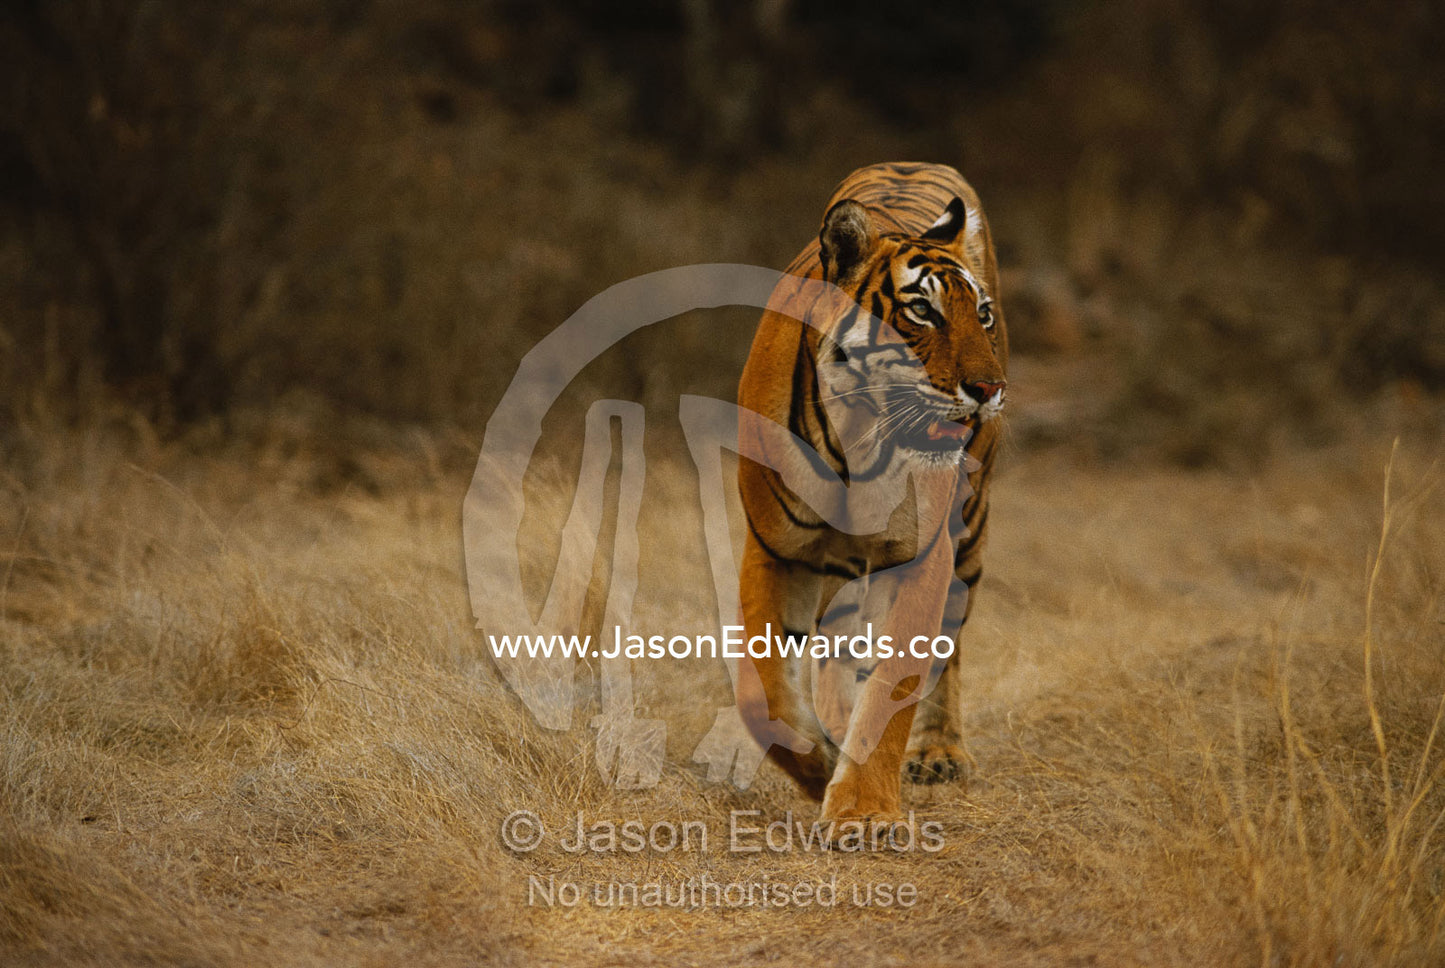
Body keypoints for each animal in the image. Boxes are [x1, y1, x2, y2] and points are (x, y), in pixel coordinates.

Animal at [734, 161, 1008, 826]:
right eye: (923, 311)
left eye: (982, 314)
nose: (990, 389)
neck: (856, 441)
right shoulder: (774, 549)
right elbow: (765, 696)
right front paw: (821, 768)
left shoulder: (922, 554)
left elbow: (897, 682)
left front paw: (861, 811)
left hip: (971, 530)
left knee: (947, 650)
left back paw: (938, 753)